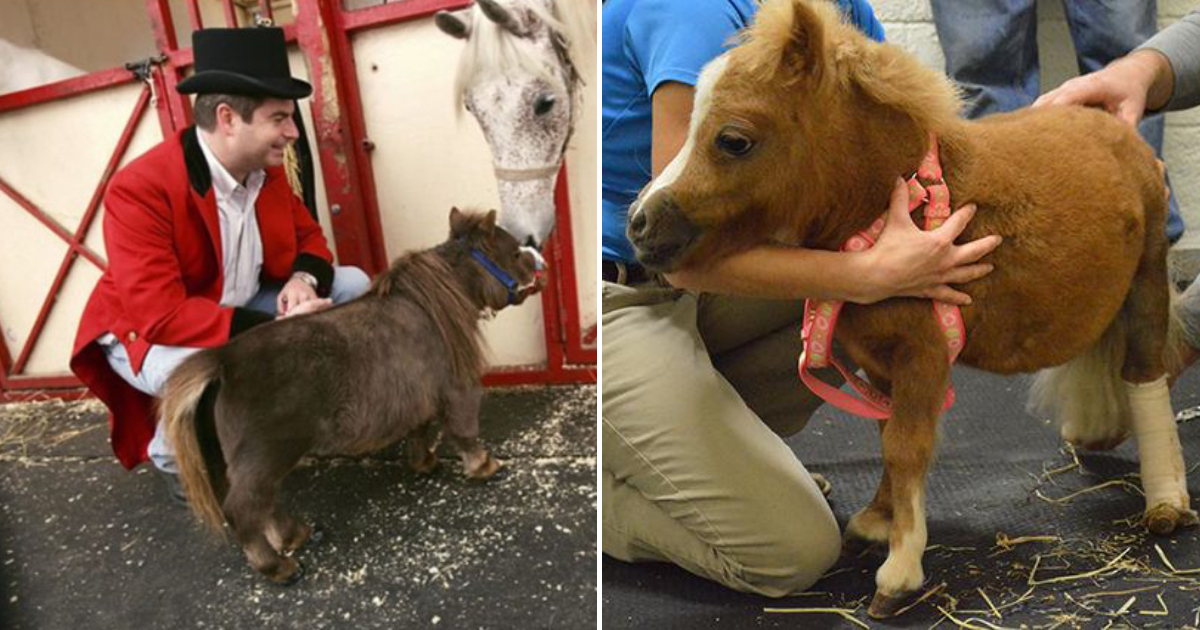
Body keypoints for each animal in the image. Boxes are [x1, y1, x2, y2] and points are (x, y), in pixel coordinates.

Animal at [159, 208, 540, 583]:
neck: (440, 301)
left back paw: (297, 534)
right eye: (515, 253)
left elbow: (418, 430)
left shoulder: (415, 395)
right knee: (245, 509)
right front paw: (485, 466)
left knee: (265, 504)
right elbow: (464, 431)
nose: (539, 262)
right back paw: (279, 567)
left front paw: (424, 463)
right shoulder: (458, 387)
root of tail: (224, 360)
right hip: (265, 454)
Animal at [628, 0, 1200, 619]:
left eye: (733, 140)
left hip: (1146, 283)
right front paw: (877, 521)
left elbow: (907, 448)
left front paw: (898, 571)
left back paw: (1166, 500)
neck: (898, 205)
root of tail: (1120, 132)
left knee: (1145, 373)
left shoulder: (924, 356)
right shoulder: (879, 361)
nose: (640, 225)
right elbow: (886, 437)